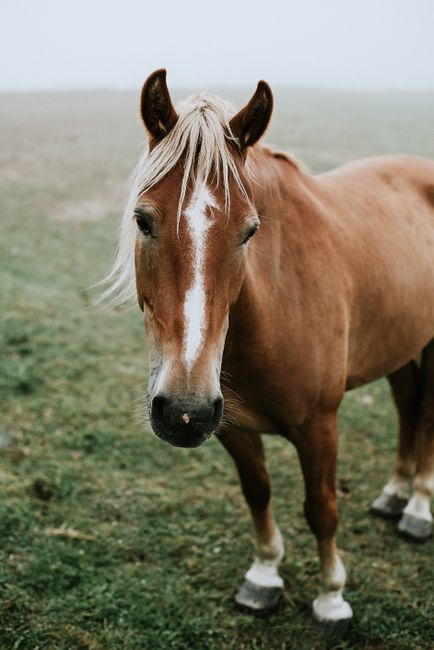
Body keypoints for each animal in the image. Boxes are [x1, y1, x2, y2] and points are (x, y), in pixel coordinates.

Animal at [102, 69, 434, 626]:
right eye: (143, 220)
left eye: (249, 230)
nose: (184, 410)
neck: (277, 306)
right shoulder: (231, 426)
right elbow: (258, 493)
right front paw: (263, 576)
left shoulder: (320, 425)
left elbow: (322, 509)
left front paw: (331, 598)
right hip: (399, 342)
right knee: (409, 405)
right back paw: (394, 494)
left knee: (426, 415)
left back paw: (418, 508)